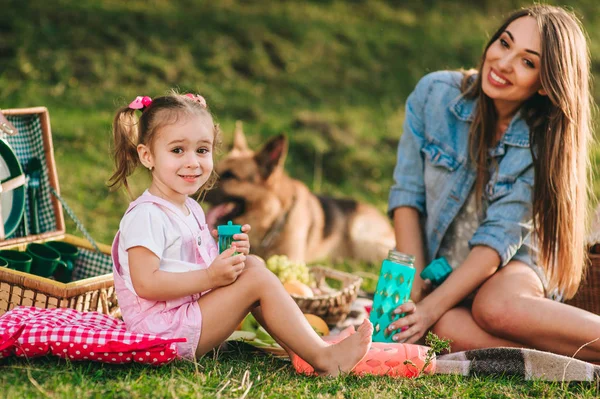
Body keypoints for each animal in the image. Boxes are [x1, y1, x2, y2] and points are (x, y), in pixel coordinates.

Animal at [204, 123, 396, 264]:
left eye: (230, 176)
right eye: (216, 170)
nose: (202, 186)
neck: (273, 220)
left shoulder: (292, 259)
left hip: (362, 238)